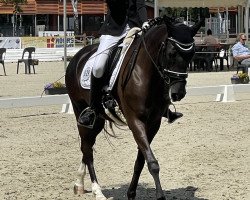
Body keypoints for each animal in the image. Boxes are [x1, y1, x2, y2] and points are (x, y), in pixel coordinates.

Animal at [64, 16, 203, 200]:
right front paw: (160, 196)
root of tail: (78, 56)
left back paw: (79, 184)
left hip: (99, 119)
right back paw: (97, 190)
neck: (146, 73)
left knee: (87, 147)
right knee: (87, 148)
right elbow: (152, 163)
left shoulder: (153, 123)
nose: (178, 93)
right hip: (80, 109)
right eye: (171, 53)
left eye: (192, 54)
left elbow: (141, 160)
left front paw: (131, 193)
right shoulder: (135, 120)